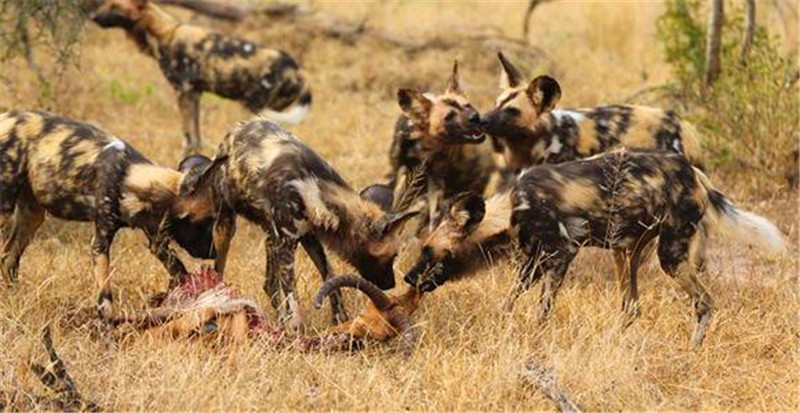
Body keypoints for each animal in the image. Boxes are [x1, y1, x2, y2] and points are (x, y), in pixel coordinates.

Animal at [0, 110, 233, 318]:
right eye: (207, 221)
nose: (214, 253)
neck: (131, 178)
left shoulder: (157, 240)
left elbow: (180, 270)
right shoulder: (100, 243)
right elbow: (106, 299)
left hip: (33, 217)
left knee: (8, 258)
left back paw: (12, 299)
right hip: (5, 211)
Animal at [87, 0, 310, 154]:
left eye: (115, 6)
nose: (93, 17)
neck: (164, 35)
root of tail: (297, 70)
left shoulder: (183, 92)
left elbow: (187, 138)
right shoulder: (195, 94)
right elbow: (196, 138)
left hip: (255, 106)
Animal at [206, 117, 418, 330]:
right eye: (393, 255)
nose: (391, 284)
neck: (313, 187)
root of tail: (238, 128)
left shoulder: (310, 238)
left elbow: (330, 277)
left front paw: (341, 320)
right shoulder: (287, 245)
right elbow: (293, 297)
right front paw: (298, 330)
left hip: (271, 237)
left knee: (270, 284)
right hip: (226, 228)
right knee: (220, 269)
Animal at [406, 150, 788, 346]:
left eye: (428, 250)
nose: (408, 278)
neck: (515, 206)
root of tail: (696, 174)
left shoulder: (562, 253)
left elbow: (543, 308)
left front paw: (535, 339)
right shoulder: (533, 260)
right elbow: (511, 298)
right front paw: (504, 324)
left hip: (670, 256)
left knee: (705, 302)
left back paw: (692, 351)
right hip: (628, 252)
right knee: (631, 306)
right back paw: (617, 340)